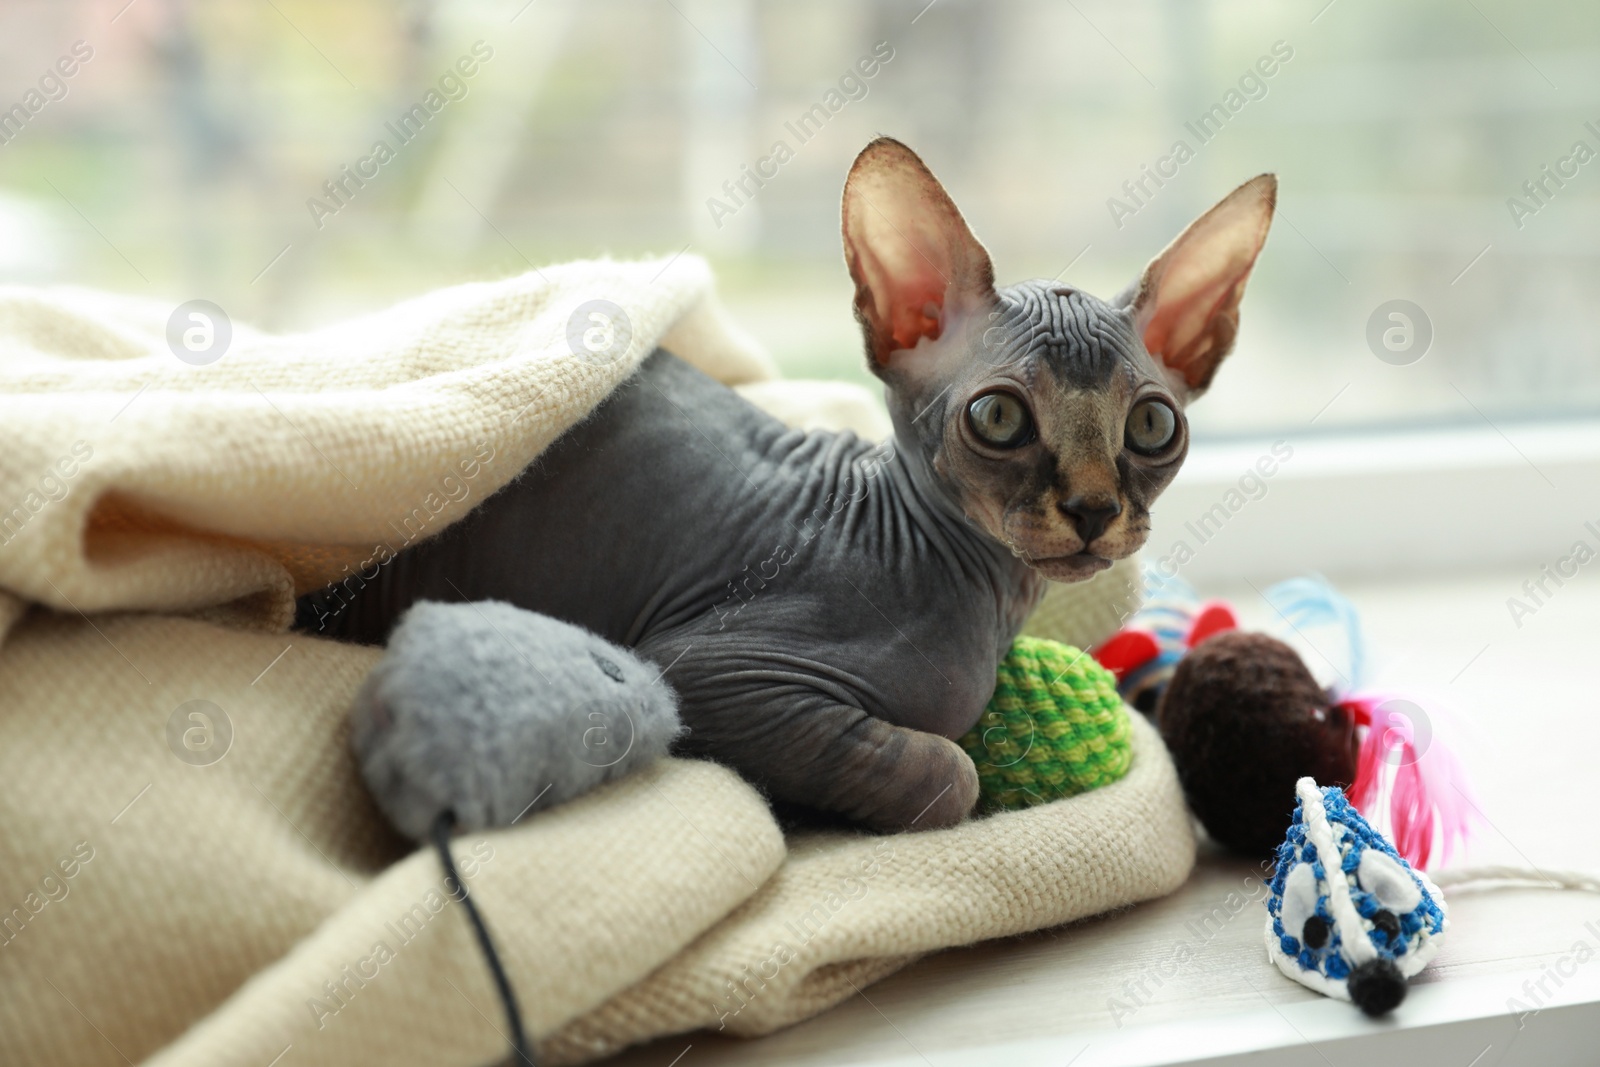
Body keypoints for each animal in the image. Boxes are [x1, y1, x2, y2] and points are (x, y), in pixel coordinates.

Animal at [302, 135, 1273, 831]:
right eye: (999, 418)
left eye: (1152, 427)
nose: (1093, 508)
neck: (985, 593)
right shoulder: (706, 666)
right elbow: (948, 771)